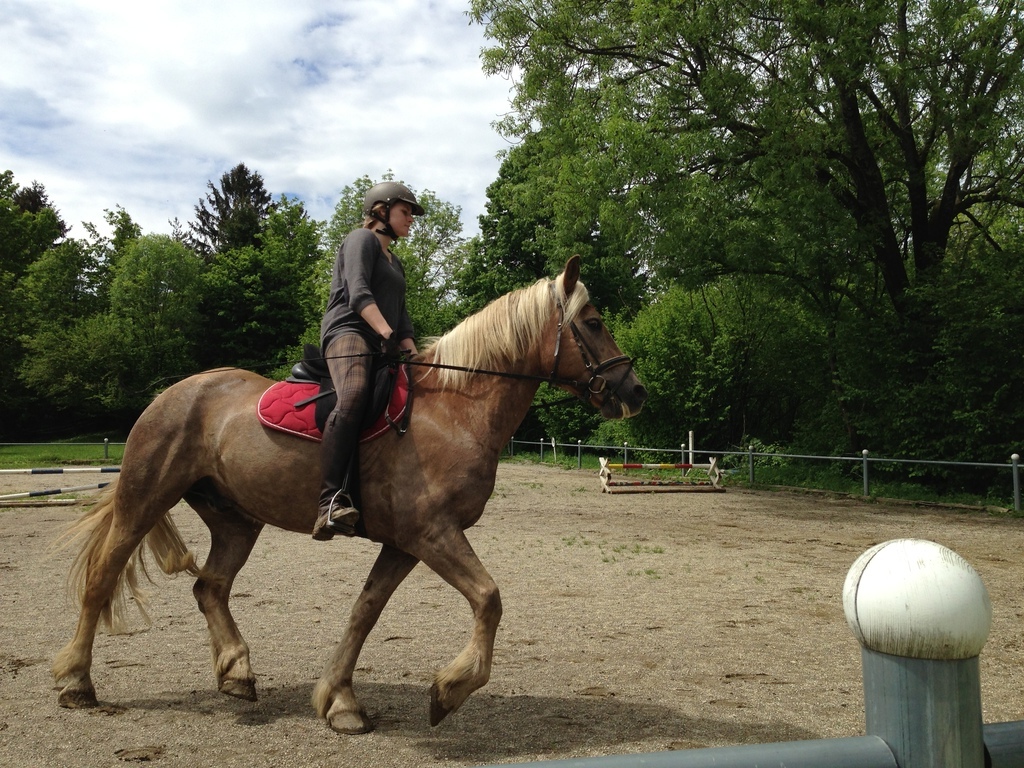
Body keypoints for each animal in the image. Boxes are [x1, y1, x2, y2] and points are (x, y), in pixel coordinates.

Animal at [52, 255, 648, 734]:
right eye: (593, 323)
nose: (635, 392)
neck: (455, 409)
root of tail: (173, 393)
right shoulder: (432, 533)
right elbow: (488, 598)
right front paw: (449, 689)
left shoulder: (406, 543)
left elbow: (365, 611)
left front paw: (340, 702)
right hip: (144, 498)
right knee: (103, 577)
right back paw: (76, 682)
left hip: (237, 520)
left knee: (211, 588)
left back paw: (237, 673)